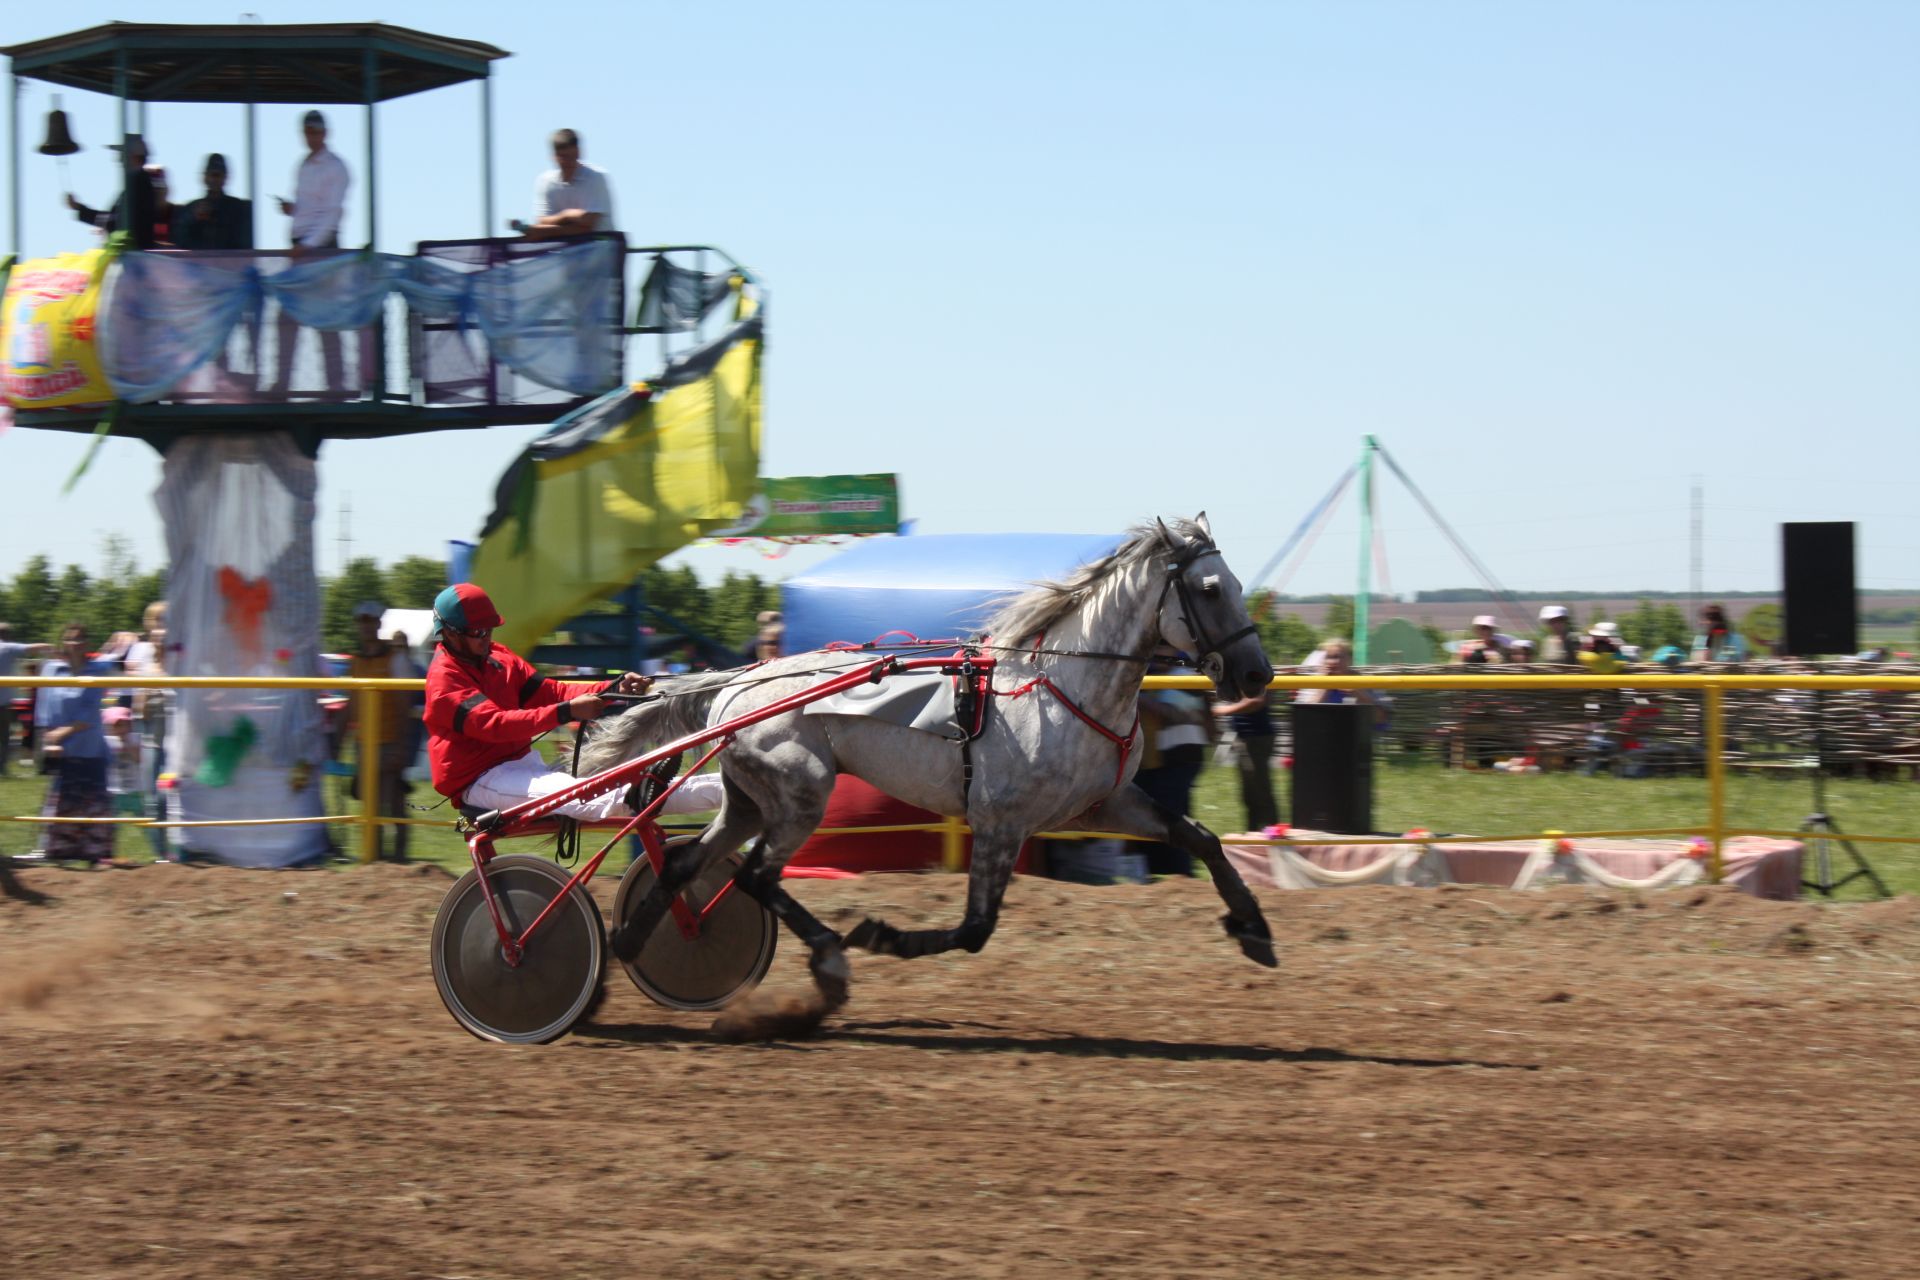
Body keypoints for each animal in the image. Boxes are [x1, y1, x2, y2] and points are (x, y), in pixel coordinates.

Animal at [579, 518, 1274, 1013]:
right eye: (1211, 589)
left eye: (1239, 586)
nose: (1256, 675)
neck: (1060, 688)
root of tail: (737, 683)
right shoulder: (1000, 822)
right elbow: (975, 928)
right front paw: (882, 936)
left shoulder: (1103, 805)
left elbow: (1201, 838)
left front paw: (1254, 929)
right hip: (800, 796)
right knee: (756, 876)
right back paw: (829, 959)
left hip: (750, 801)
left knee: (688, 866)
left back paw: (630, 949)